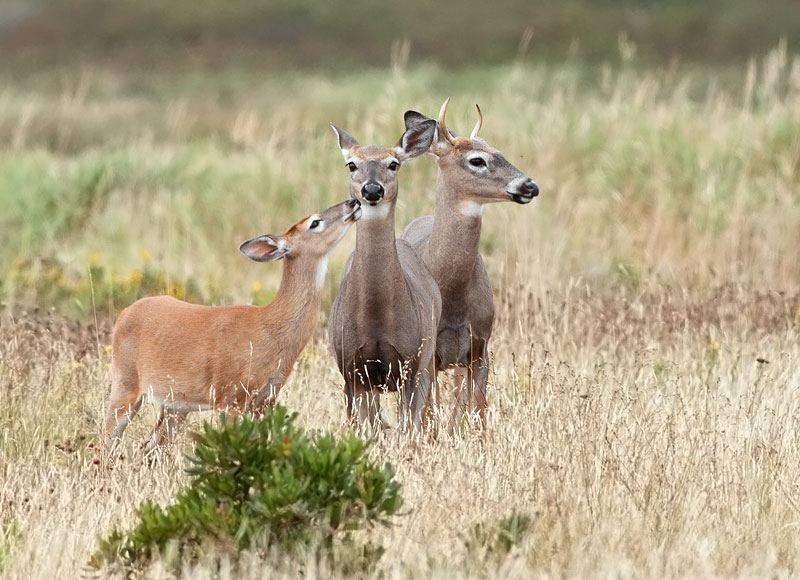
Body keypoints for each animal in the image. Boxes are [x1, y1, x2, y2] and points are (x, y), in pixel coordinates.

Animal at [103, 198, 362, 460]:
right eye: (314, 222)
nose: (353, 202)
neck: (270, 328)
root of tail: (123, 314)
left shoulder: (266, 398)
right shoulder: (230, 394)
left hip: (176, 403)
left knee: (150, 445)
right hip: (125, 380)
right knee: (108, 438)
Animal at [328, 119, 442, 437]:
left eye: (394, 163)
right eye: (351, 164)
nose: (372, 189)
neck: (376, 319)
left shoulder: (410, 363)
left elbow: (408, 428)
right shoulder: (350, 368)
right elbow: (364, 430)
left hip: (428, 356)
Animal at [400, 98, 539, 431]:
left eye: (498, 149)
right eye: (477, 160)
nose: (530, 186)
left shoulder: (480, 346)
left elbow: (477, 412)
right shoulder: (429, 352)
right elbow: (430, 415)